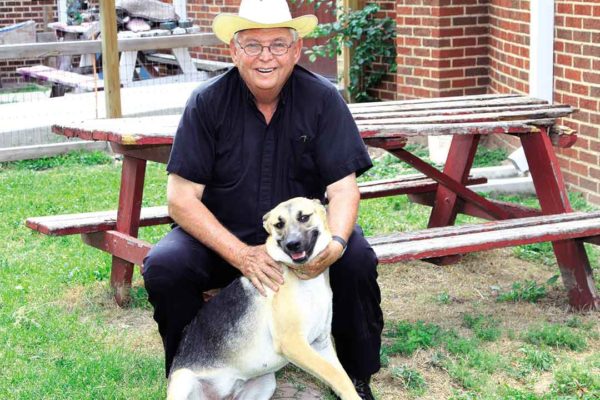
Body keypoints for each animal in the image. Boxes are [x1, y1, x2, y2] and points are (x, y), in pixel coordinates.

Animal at [166, 197, 360, 400]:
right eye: (279, 224)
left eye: (304, 217)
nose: (292, 244)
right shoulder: (293, 342)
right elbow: (335, 375)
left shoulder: (321, 344)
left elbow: (342, 378)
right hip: (183, 379)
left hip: (266, 383)